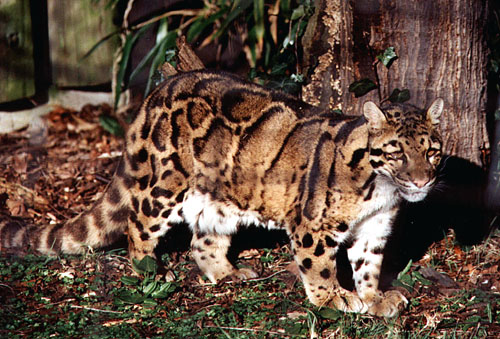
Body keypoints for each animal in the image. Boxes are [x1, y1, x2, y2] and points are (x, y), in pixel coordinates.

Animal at [1, 70, 444, 318]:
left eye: (432, 151)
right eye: (397, 151)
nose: (422, 181)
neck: (381, 188)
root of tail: (156, 92)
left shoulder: (374, 227)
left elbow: (369, 264)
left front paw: (374, 297)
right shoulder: (312, 226)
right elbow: (320, 268)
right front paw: (333, 300)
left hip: (220, 199)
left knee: (203, 240)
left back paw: (225, 272)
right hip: (166, 183)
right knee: (137, 224)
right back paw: (148, 269)